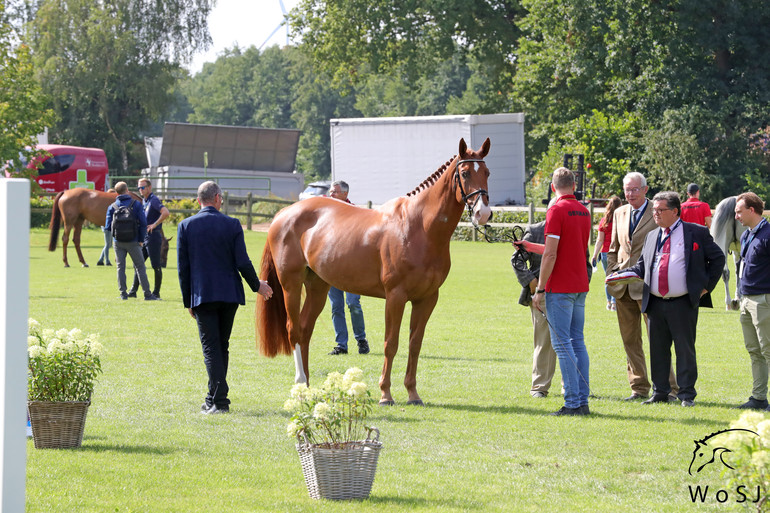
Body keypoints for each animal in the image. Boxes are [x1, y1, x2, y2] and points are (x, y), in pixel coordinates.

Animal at [255, 138, 488, 406]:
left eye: (487, 172)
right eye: (465, 172)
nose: (483, 212)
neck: (418, 227)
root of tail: (283, 213)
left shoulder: (427, 299)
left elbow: (414, 344)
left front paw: (413, 394)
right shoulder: (395, 297)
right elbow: (391, 343)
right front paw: (385, 394)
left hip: (318, 287)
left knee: (305, 330)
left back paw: (310, 387)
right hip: (291, 285)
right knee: (293, 330)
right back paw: (301, 384)